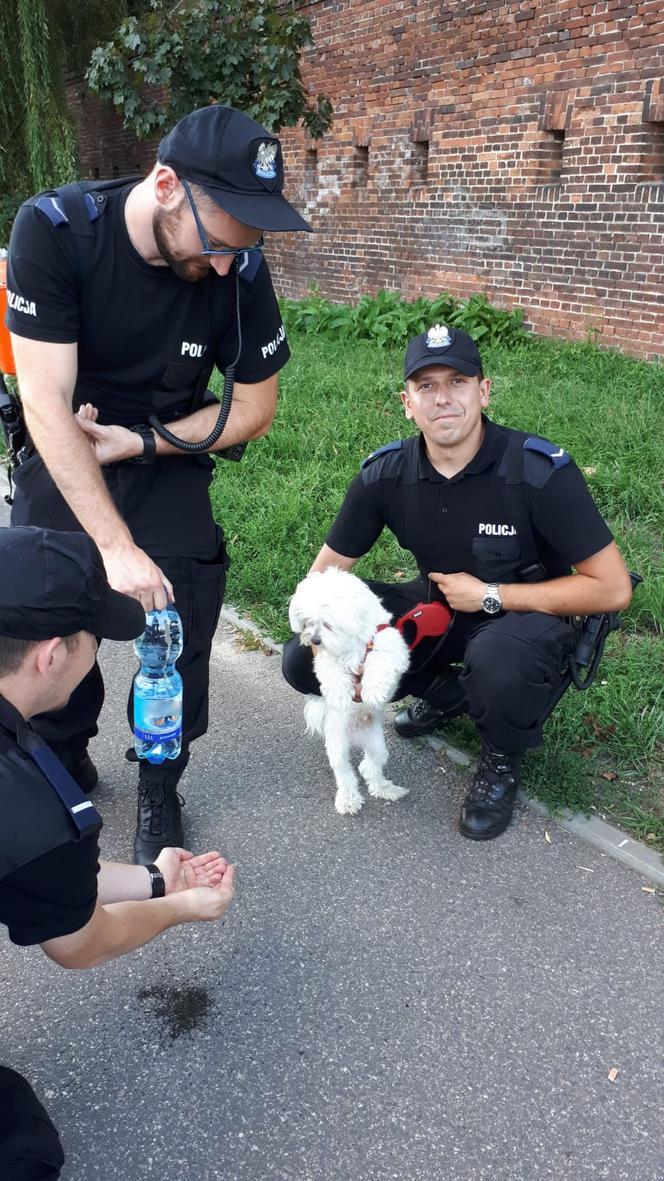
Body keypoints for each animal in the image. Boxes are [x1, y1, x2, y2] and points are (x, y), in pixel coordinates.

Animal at [288, 569, 408, 812]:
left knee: (369, 766)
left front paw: (373, 691)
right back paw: (348, 799)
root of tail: (356, 735)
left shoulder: (389, 646)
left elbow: (379, 661)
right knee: (344, 772)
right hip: (337, 743)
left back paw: (384, 789)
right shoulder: (327, 659)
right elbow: (331, 673)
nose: (314, 640)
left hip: (377, 744)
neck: (351, 643)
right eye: (308, 622)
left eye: (327, 624)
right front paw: (339, 695)